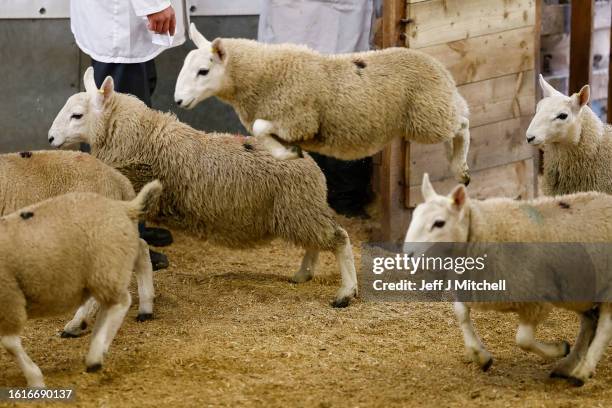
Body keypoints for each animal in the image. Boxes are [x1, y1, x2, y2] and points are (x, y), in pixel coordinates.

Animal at [0, 181, 161, 386]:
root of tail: (122, 206)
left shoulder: (8, 298)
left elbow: (10, 343)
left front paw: (35, 379)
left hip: (105, 267)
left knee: (121, 302)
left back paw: (95, 354)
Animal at [47, 67, 358, 308]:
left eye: (77, 115)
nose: (50, 138)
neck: (142, 137)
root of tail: (311, 164)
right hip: (299, 211)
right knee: (316, 242)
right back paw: (303, 274)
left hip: (299, 208)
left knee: (340, 238)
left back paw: (346, 292)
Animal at [175, 22, 470, 185]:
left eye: (203, 71)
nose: (178, 100)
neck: (263, 74)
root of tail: (439, 68)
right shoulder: (287, 122)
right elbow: (262, 135)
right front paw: (288, 152)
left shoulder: (299, 120)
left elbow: (258, 127)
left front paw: (289, 153)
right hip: (434, 110)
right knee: (460, 116)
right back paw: (456, 164)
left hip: (429, 114)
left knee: (464, 123)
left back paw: (461, 167)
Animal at [406, 175, 612, 386]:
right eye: (414, 217)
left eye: (439, 223)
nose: (407, 254)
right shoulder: (472, 288)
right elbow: (461, 313)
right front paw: (481, 356)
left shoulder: (535, 299)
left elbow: (524, 340)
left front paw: (559, 348)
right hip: (579, 289)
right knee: (590, 322)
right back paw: (568, 366)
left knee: (604, 327)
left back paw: (582, 371)